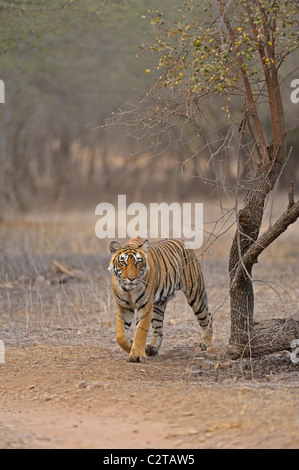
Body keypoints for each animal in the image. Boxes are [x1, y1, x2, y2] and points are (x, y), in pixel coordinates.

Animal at [109, 235, 212, 364]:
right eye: (123, 262)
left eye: (138, 262)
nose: (131, 279)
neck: (129, 290)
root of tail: (183, 241)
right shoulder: (124, 306)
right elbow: (120, 335)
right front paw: (132, 346)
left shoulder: (145, 305)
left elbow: (140, 331)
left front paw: (137, 355)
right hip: (158, 305)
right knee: (158, 328)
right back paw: (152, 348)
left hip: (196, 295)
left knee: (207, 317)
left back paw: (206, 343)